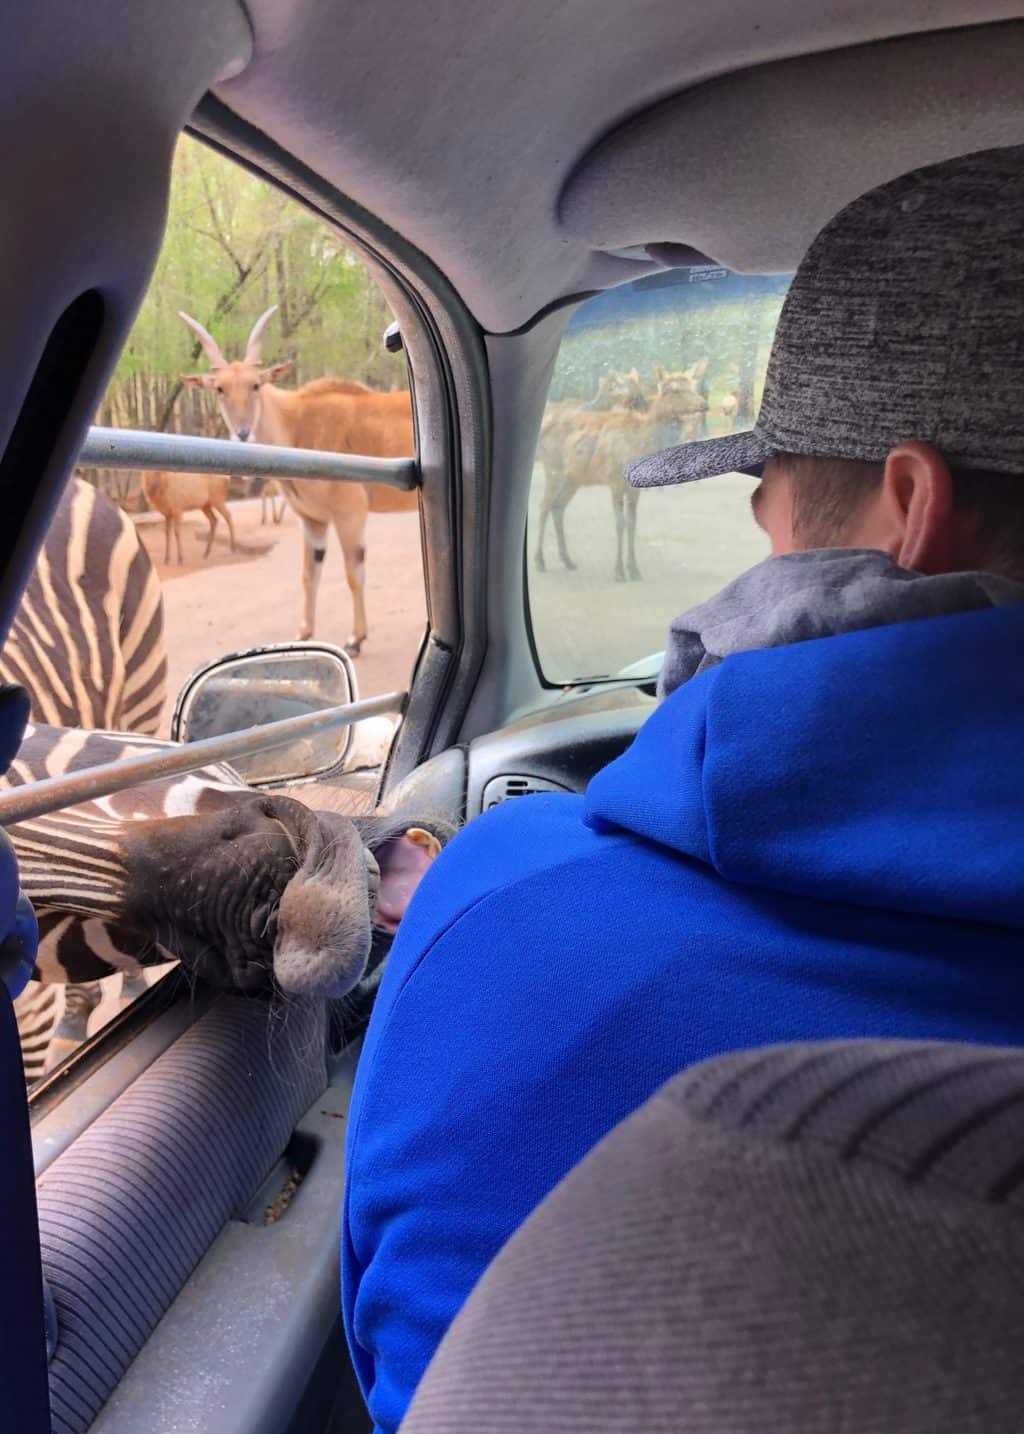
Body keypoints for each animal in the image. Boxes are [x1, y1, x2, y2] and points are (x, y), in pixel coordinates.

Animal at [178, 311, 415, 656]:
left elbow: (353, 573)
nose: (243, 433)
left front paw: (355, 639)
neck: (297, 422)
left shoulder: (350, 513)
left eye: (255, 385)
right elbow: (308, 575)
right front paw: (303, 632)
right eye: (219, 388)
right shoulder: (313, 520)